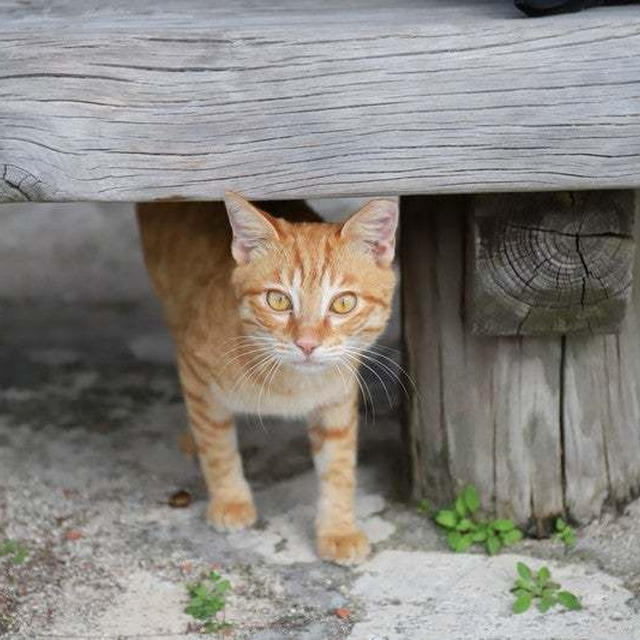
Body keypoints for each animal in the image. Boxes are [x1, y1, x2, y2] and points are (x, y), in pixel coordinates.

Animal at [136, 195, 396, 564]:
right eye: (278, 300)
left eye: (344, 303)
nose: (307, 344)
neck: (290, 384)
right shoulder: (194, 369)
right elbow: (217, 444)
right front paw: (230, 500)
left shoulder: (339, 398)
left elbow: (339, 467)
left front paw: (338, 529)